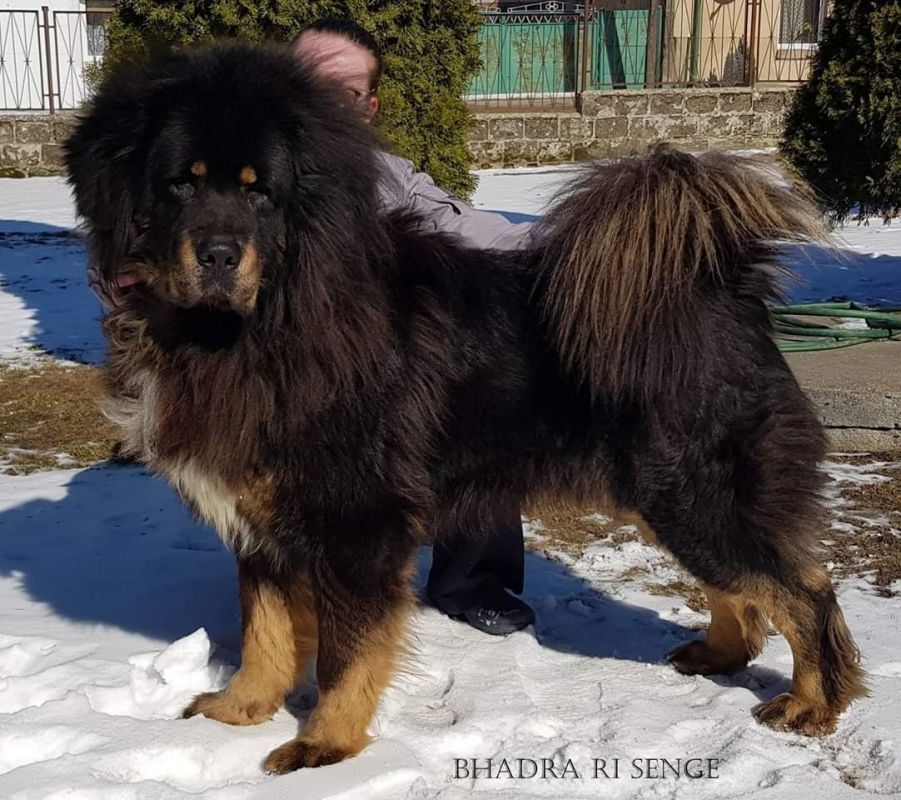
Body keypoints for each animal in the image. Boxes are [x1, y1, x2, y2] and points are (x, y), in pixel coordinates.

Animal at [64, 41, 866, 774]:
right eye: (180, 185)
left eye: (261, 193)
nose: (219, 253)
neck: (255, 327)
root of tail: (718, 281)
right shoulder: (262, 523)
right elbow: (263, 631)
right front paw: (241, 710)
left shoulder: (357, 524)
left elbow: (345, 654)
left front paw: (325, 745)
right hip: (666, 494)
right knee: (742, 590)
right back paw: (721, 655)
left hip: (698, 495)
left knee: (803, 591)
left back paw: (812, 703)